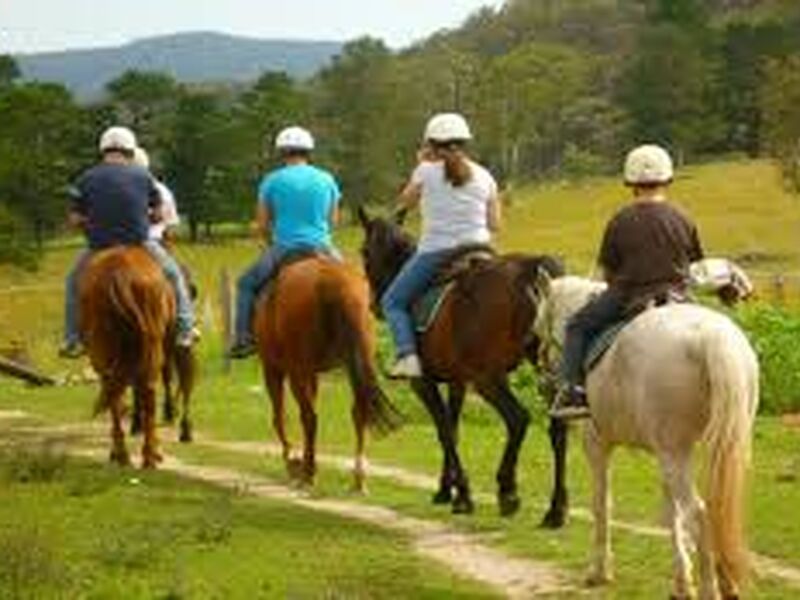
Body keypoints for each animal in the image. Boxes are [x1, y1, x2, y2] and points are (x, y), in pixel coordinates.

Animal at [79, 245, 175, 468]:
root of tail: (119, 274)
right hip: (150, 350)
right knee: (145, 391)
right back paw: (148, 454)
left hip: (104, 353)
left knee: (115, 394)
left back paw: (122, 454)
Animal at [253, 251, 400, 490]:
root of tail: (333, 282)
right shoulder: (312, 374)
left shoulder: (274, 368)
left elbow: (280, 416)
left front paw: (292, 459)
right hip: (355, 366)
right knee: (358, 412)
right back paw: (358, 477)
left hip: (295, 372)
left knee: (309, 417)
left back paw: (308, 472)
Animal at [536, 276, 760, 600]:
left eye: (538, 322)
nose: (544, 379)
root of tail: (710, 338)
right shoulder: (665, 455)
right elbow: (671, 513)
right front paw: (681, 581)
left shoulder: (597, 447)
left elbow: (602, 505)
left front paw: (599, 571)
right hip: (715, 449)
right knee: (717, 509)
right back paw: (726, 582)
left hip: (675, 456)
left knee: (699, 513)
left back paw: (710, 587)